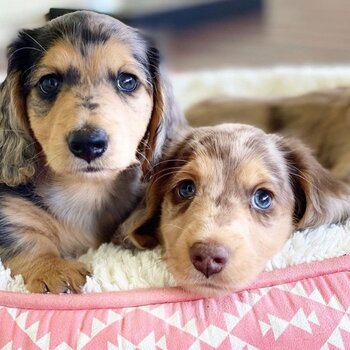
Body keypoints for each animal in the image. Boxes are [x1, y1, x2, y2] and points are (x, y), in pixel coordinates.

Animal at [0, 10, 186, 294]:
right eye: (49, 82)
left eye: (127, 81)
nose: (88, 143)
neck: (85, 189)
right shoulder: (9, 211)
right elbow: (23, 239)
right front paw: (53, 269)